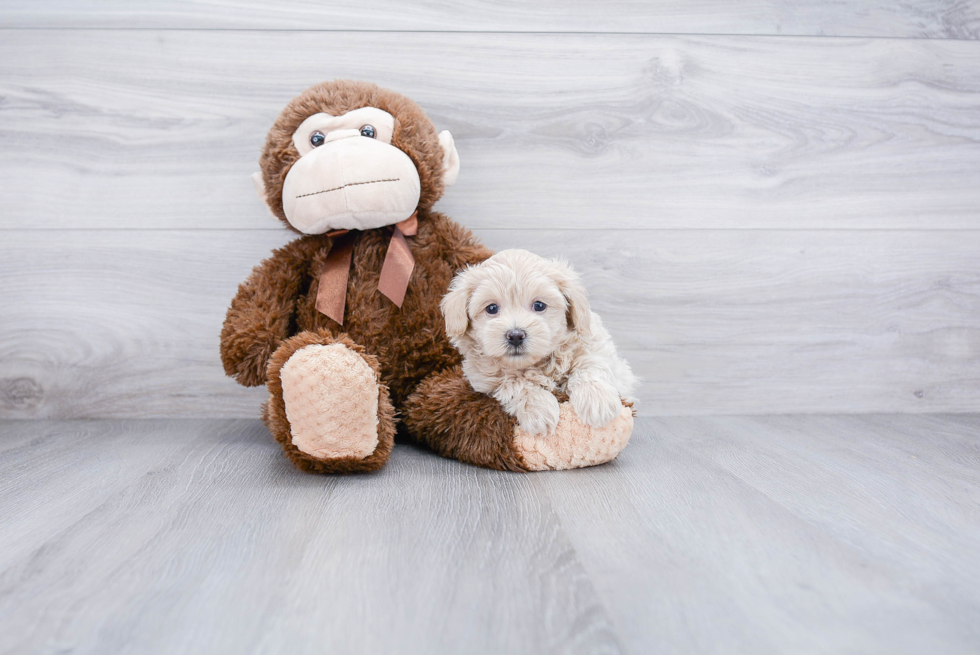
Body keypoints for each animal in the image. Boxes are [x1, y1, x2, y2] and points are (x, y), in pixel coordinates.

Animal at [442, 249, 640, 438]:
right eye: (491, 308)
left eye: (539, 305)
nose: (515, 335)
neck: (537, 364)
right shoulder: (485, 379)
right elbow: (516, 383)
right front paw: (538, 411)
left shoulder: (592, 344)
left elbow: (590, 364)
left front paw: (597, 400)